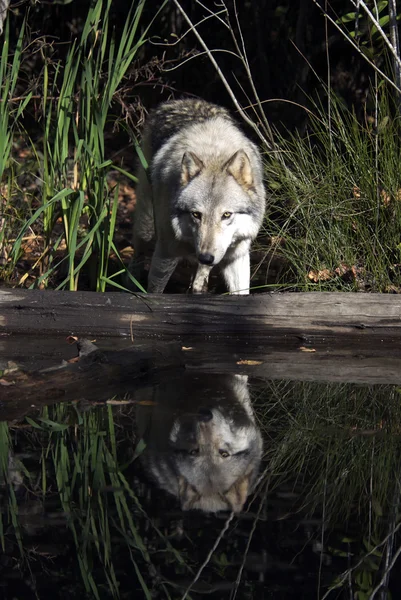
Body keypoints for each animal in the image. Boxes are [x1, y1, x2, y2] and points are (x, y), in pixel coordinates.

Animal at [129, 98, 266, 296]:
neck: (214, 157)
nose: (206, 257)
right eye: (196, 214)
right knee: (137, 253)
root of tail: (184, 100)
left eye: (226, 215)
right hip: (146, 226)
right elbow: (156, 290)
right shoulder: (165, 255)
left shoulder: (237, 255)